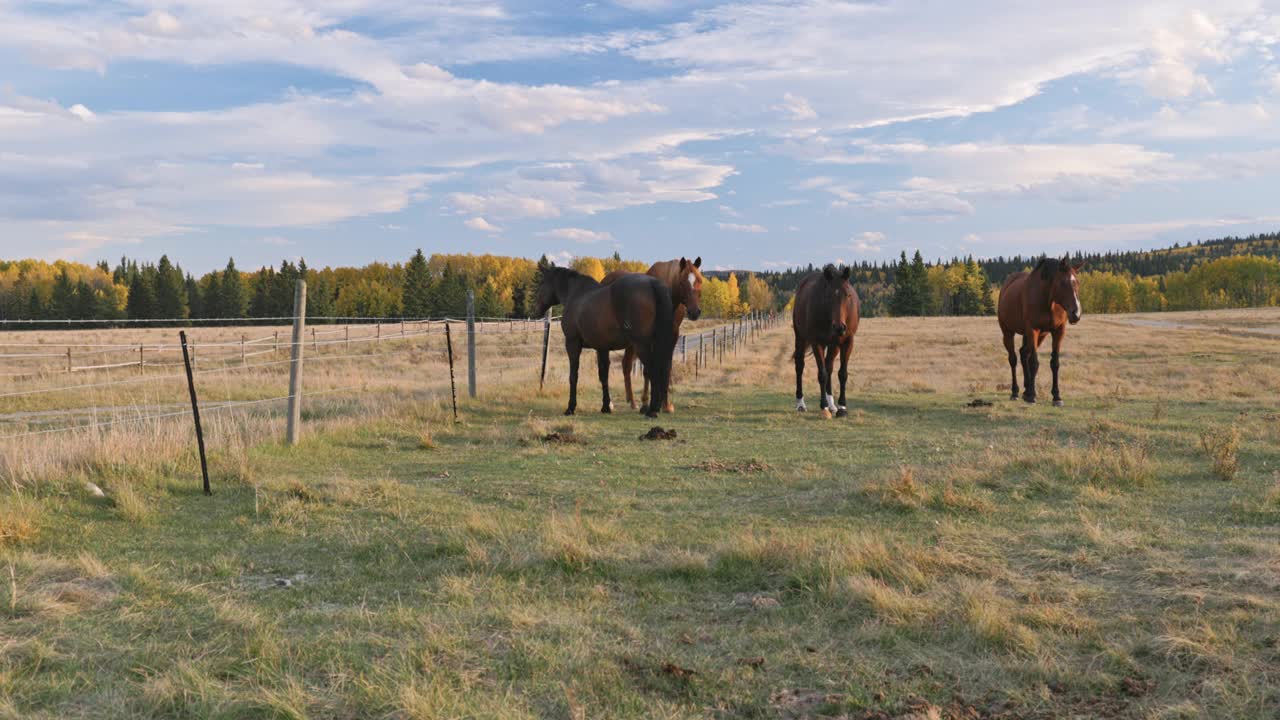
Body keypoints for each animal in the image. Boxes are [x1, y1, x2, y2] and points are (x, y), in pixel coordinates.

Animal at [529, 258, 675, 417]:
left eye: (541, 283)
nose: (536, 310)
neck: (576, 295)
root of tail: (652, 283)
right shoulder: (602, 348)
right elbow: (603, 376)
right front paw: (606, 406)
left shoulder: (572, 343)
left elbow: (573, 375)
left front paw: (571, 407)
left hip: (642, 345)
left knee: (653, 371)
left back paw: (652, 410)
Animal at [601, 254, 706, 412]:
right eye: (682, 282)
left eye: (699, 280)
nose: (694, 312)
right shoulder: (650, 339)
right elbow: (648, 371)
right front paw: (648, 403)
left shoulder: (671, 337)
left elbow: (666, 368)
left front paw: (666, 405)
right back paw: (611, 403)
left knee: (626, 365)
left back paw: (632, 401)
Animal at [788, 263, 860, 415]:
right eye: (829, 295)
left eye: (848, 295)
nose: (839, 327)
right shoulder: (817, 343)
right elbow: (822, 374)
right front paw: (824, 406)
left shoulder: (847, 342)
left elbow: (842, 374)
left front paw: (842, 407)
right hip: (800, 338)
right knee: (800, 366)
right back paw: (801, 403)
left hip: (834, 345)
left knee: (829, 367)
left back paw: (832, 404)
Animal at [993, 254, 1085, 404]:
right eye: (1063, 283)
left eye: (1077, 283)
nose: (1076, 314)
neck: (1048, 300)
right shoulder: (1033, 330)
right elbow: (1034, 363)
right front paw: (1032, 395)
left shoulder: (1058, 331)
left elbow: (1055, 363)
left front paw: (1056, 396)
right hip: (1008, 333)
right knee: (1013, 359)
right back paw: (1015, 391)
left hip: (1039, 335)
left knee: (1023, 354)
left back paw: (1026, 389)